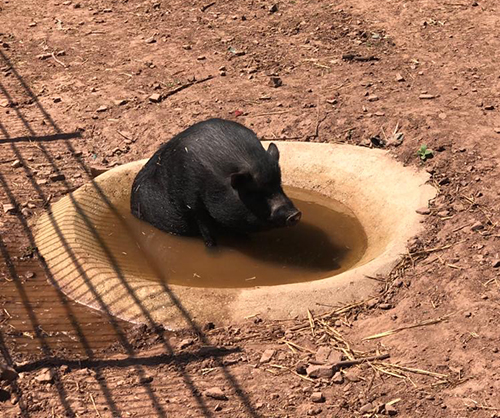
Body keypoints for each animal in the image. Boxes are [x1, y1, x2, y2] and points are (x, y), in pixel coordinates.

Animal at [130, 117, 300, 247]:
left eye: (279, 183)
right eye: (253, 192)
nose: (295, 214)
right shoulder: (191, 201)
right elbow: (206, 229)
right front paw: (213, 247)